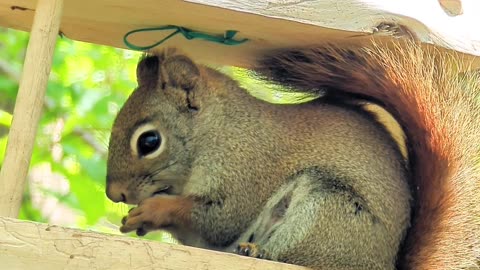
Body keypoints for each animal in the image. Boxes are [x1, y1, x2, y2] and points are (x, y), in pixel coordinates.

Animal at [106, 42, 480, 270]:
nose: (115, 194)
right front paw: (136, 221)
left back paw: (257, 251)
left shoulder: (246, 168)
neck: (219, 131)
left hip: (327, 210)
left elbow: (221, 218)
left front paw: (155, 210)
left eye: (149, 141)